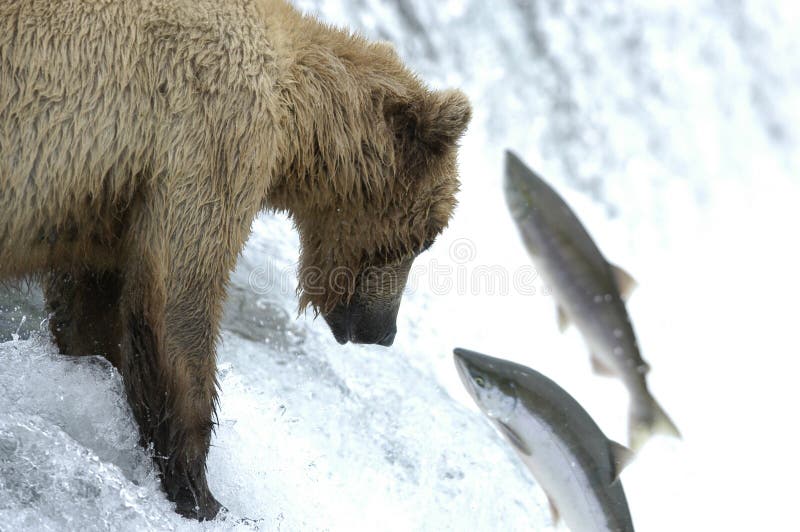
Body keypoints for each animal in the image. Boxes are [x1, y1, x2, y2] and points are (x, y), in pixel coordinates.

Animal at [0, 0, 468, 520]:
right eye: (428, 238)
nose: (384, 331)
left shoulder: (115, 198)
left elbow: (94, 310)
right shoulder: (212, 137)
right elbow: (178, 305)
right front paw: (205, 495)